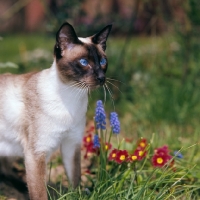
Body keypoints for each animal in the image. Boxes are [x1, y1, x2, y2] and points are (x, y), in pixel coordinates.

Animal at [0, 22, 111, 200]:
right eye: (83, 62)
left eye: (102, 61)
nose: (101, 78)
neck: (72, 95)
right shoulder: (36, 153)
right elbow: (39, 194)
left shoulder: (71, 144)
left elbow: (75, 179)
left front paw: (77, 195)